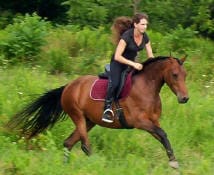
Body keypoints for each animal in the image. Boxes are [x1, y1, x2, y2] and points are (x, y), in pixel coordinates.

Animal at [7, 55, 189, 168]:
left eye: (185, 75)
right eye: (174, 75)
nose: (185, 98)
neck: (147, 88)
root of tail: (68, 86)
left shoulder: (152, 122)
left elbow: (163, 137)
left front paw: (173, 161)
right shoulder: (140, 122)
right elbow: (163, 134)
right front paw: (174, 163)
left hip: (90, 121)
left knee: (68, 142)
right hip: (78, 116)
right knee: (85, 146)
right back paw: (97, 164)